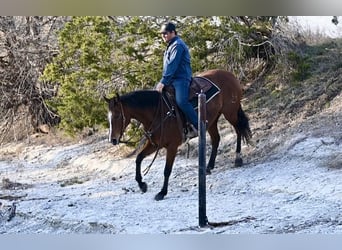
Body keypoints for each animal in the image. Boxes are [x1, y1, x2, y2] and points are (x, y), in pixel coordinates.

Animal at [104, 69, 251, 201]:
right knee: (216, 139)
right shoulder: (154, 144)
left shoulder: (172, 146)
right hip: (212, 120)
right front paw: (142, 185)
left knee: (238, 130)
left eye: (117, 115)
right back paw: (208, 167)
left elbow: (167, 170)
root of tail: (229, 74)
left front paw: (162, 193)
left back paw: (238, 159)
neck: (158, 112)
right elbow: (139, 158)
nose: (113, 139)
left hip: (230, 112)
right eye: (108, 117)